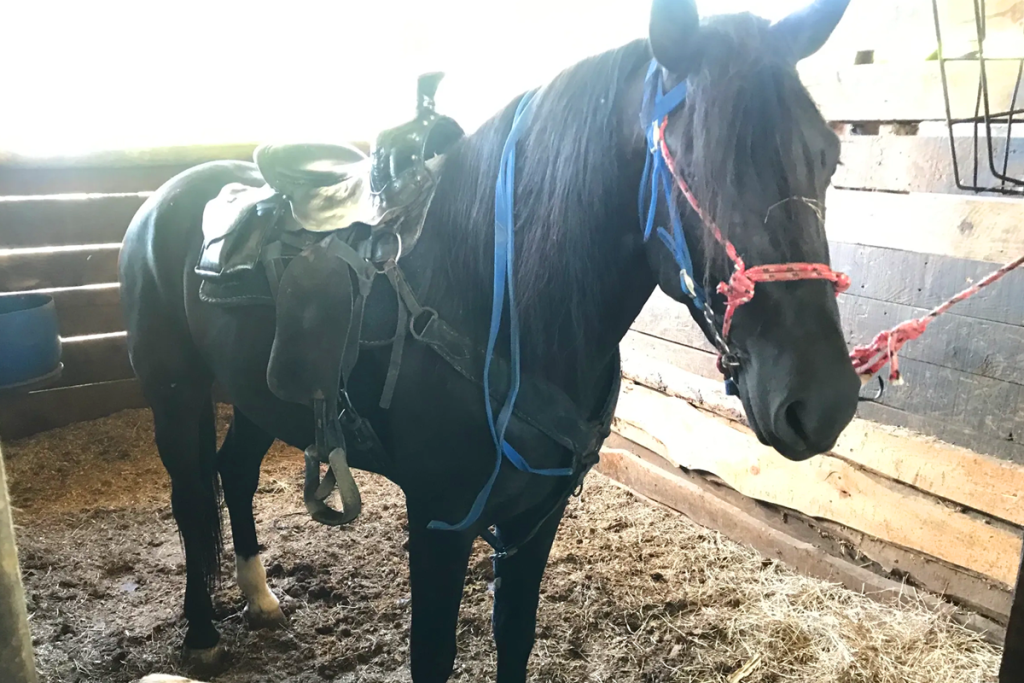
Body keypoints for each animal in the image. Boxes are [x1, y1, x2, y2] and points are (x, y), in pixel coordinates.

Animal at [118, 1, 858, 681]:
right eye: (698, 163)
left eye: (829, 156)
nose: (823, 402)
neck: (501, 300)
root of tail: (166, 198)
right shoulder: (440, 521)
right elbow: (433, 656)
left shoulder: (535, 517)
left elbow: (515, 637)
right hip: (175, 394)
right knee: (192, 496)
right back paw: (203, 632)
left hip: (263, 396)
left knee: (236, 470)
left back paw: (261, 597)